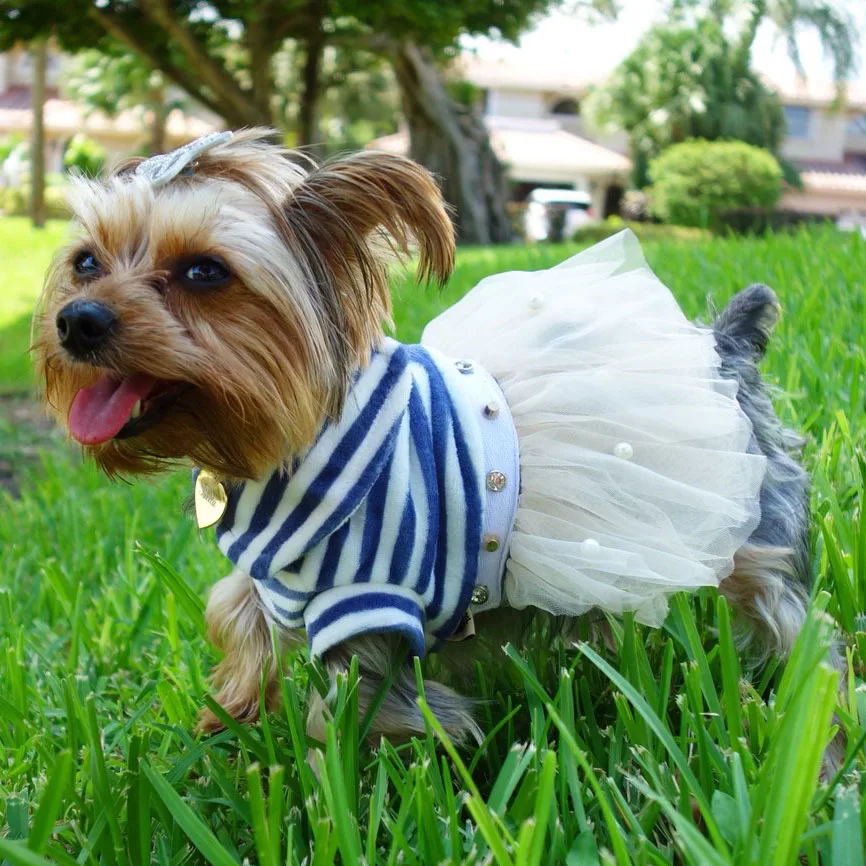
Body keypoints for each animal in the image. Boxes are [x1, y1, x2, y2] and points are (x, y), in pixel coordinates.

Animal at [35, 129, 811, 745]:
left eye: (205, 271)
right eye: (85, 262)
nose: (78, 320)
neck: (290, 445)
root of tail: (721, 346)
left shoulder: (368, 595)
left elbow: (361, 707)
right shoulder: (277, 578)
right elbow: (238, 612)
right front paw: (227, 717)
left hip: (751, 531)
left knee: (790, 619)